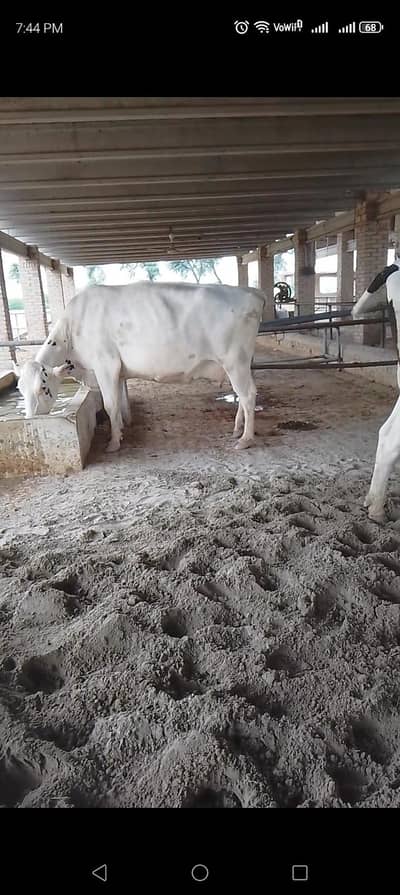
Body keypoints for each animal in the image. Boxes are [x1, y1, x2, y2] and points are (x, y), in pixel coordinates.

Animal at [15, 282, 266, 452]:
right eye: (20, 390)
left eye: (43, 388)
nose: (29, 419)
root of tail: (251, 292)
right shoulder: (118, 371)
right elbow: (119, 403)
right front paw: (121, 430)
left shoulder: (105, 364)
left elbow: (110, 404)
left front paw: (113, 443)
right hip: (239, 364)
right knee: (243, 396)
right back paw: (237, 429)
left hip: (235, 361)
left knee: (248, 395)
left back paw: (245, 439)